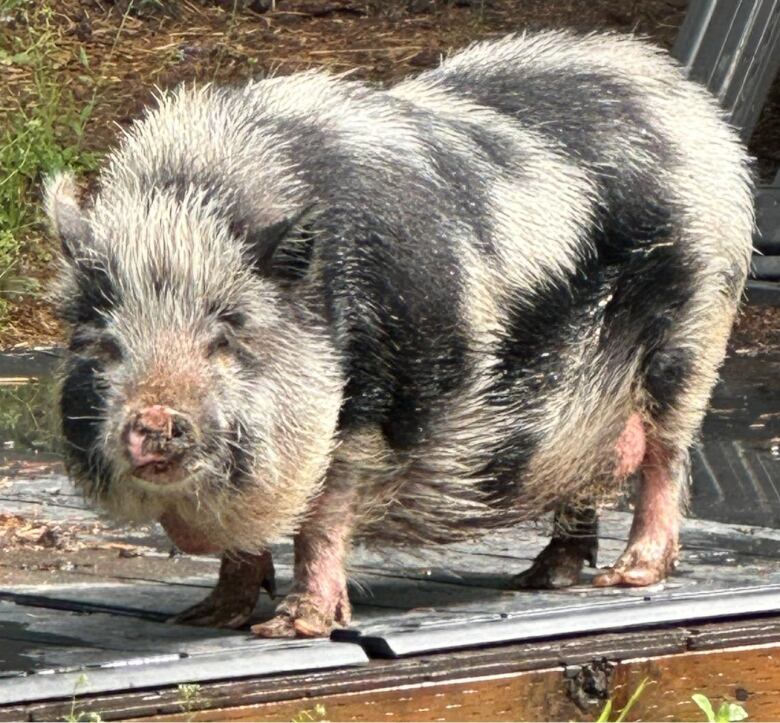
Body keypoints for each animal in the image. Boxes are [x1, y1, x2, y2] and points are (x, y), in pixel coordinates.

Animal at [45, 29, 752, 640]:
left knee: (666, 456)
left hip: (693, 336)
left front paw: (293, 628)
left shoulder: (368, 411)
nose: (155, 417)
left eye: (226, 336)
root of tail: (690, 109)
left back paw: (628, 577)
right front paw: (206, 619)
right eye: (103, 345)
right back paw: (538, 579)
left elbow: (322, 519)